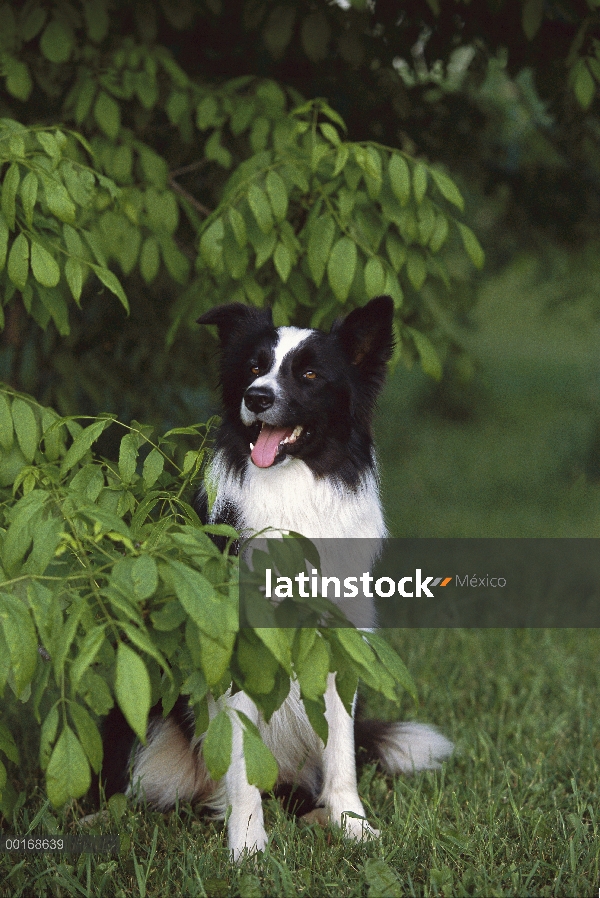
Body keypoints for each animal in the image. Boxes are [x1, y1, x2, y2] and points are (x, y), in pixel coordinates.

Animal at [101, 296, 452, 860]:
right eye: (252, 367)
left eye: (309, 374)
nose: (257, 397)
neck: (292, 491)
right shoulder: (238, 655)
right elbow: (243, 768)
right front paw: (248, 847)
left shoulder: (337, 650)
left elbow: (341, 756)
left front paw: (354, 826)